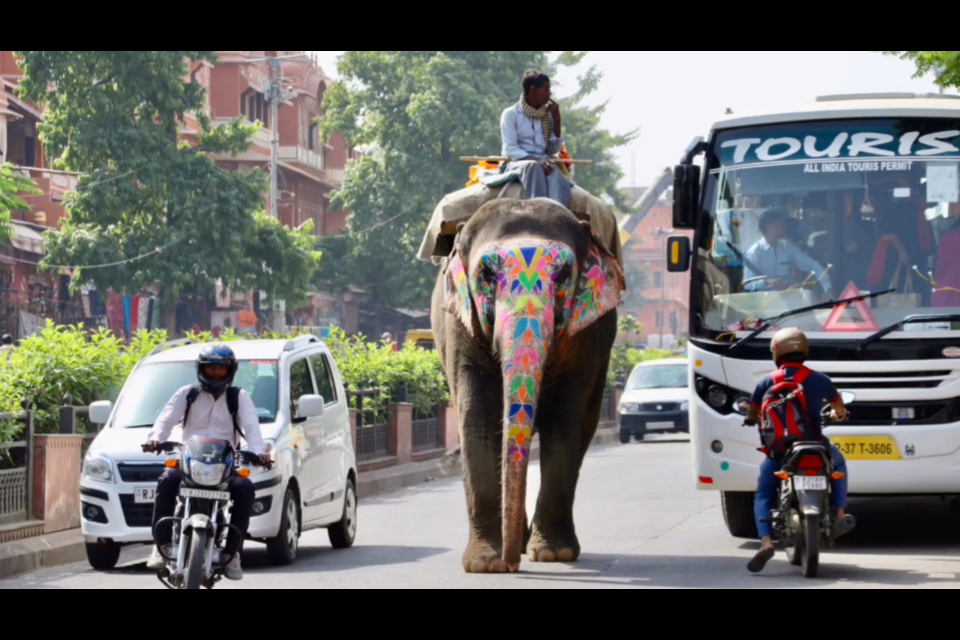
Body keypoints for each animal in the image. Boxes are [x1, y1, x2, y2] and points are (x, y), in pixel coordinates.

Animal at [432, 198, 628, 572]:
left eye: (563, 275)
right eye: (486, 275)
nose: (512, 565)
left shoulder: (584, 337)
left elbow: (563, 424)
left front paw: (554, 555)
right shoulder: (459, 328)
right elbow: (477, 421)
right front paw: (484, 564)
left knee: (583, 429)